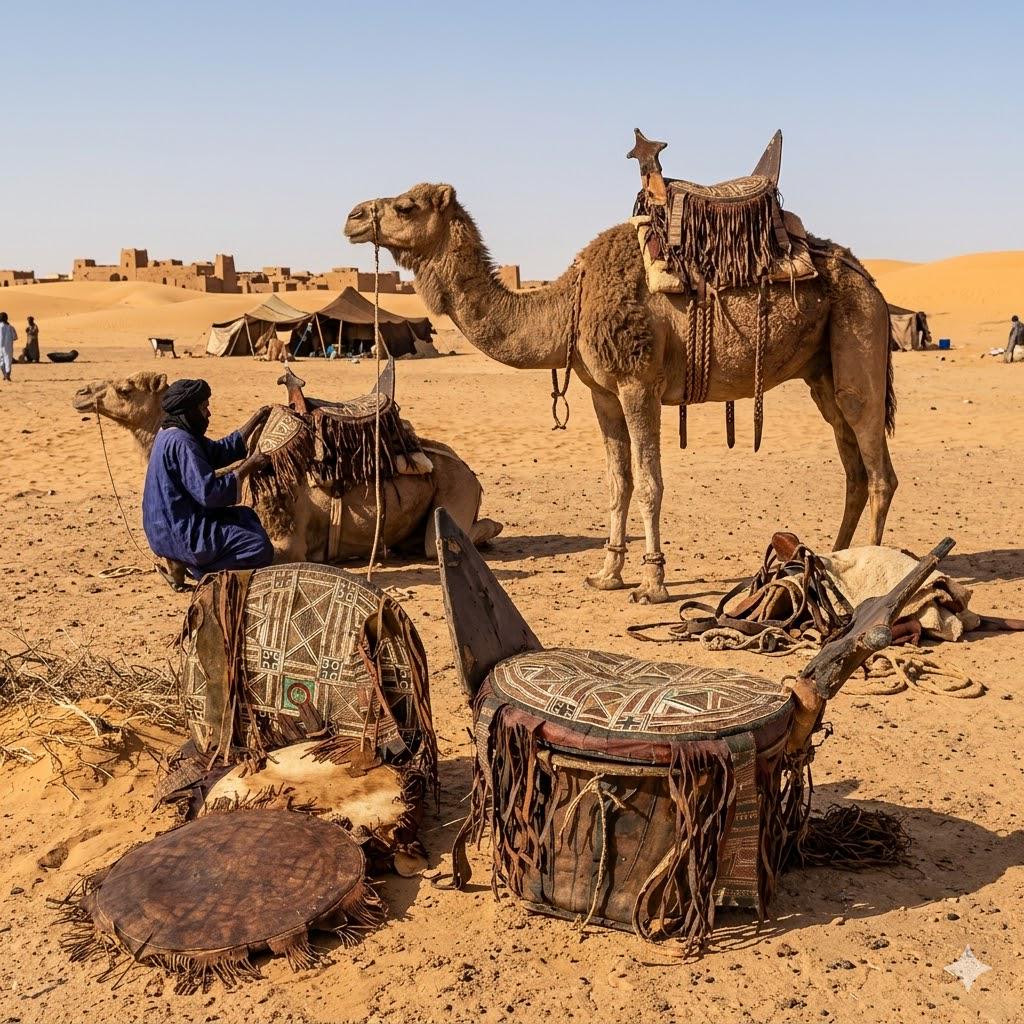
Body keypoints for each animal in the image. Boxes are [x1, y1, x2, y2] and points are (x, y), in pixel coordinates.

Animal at [72, 371, 503, 570]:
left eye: (125, 389)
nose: (80, 394)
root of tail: (472, 473)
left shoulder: (288, 542)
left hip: (455, 489)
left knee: (450, 538)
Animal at [344, 183, 897, 603]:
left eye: (405, 205)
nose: (352, 216)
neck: (570, 303)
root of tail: (869, 278)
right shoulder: (603, 393)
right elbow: (618, 482)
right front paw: (607, 574)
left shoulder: (638, 383)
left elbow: (650, 483)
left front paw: (652, 583)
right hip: (820, 373)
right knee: (852, 466)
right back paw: (826, 562)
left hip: (858, 336)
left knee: (878, 470)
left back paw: (867, 578)